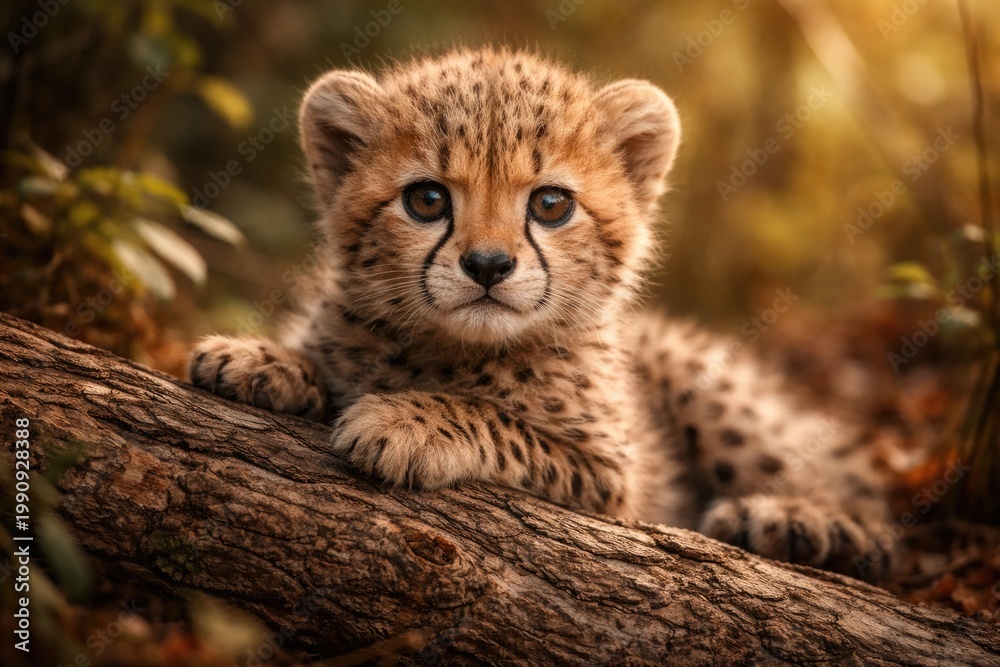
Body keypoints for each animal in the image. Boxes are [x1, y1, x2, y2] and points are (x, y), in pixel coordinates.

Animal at [189, 47, 890, 578]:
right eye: (426, 200)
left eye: (551, 204)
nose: (488, 265)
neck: (451, 350)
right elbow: (322, 357)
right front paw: (259, 359)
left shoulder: (614, 482)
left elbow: (500, 424)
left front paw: (406, 421)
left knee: (866, 516)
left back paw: (790, 521)